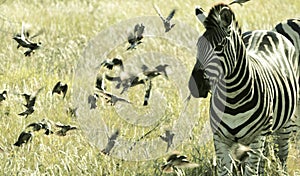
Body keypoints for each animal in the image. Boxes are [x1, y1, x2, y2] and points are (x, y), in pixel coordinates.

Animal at [189, 3, 298, 175]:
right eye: (198, 46)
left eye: (219, 47)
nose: (196, 85)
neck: (233, 99)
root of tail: (266, 31)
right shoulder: (219, 139)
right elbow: (225, 171)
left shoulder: (257, 137)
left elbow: (251, 170)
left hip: (286, 123)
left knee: (282, 154)